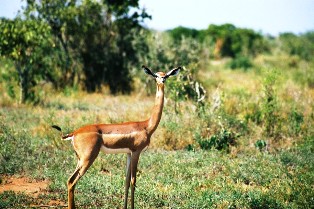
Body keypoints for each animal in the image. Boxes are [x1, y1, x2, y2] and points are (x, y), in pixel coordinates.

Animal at [51, 65, 179, 209]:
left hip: (80, 159)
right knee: (71, 181)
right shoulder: (136, 152)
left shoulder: (128, 153)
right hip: (88, 158)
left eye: (166, 75)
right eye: (156, 75)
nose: (162, 81)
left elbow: (126, 181)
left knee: (70, 181)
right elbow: (133, 181)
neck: (146, 125)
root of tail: (74, 133)